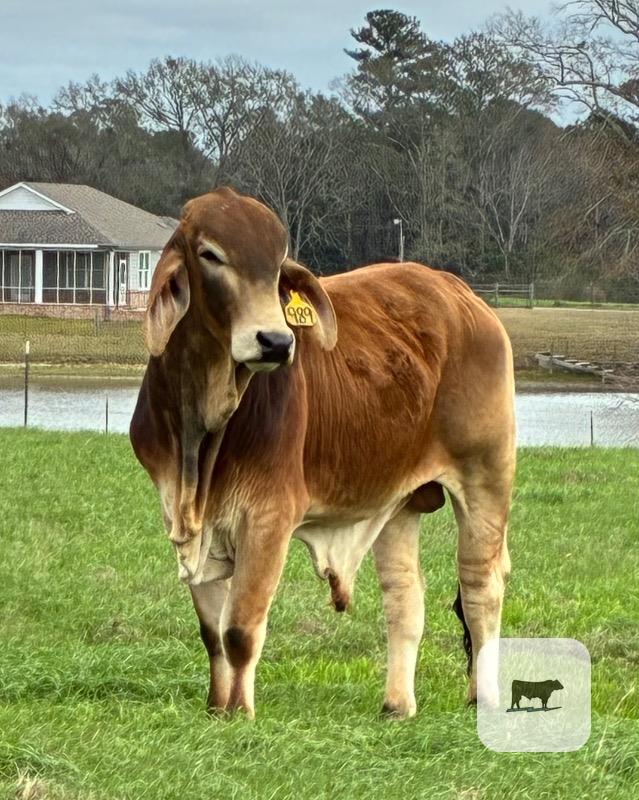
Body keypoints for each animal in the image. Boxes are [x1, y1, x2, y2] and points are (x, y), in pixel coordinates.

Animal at [129, 187, 516, 719]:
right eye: (210, 255)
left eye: (277, 266)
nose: (275, 341)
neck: (201, 428)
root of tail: (464, 296)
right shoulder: (185, 517)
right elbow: (212, 635)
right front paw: (216, 708)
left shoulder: (268, 517)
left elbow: (239, 630)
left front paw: (240, 714)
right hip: (398, 503)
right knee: (405, 597)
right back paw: (397, 705)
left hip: (486, 475)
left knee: (480, 589)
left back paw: (486, 698)